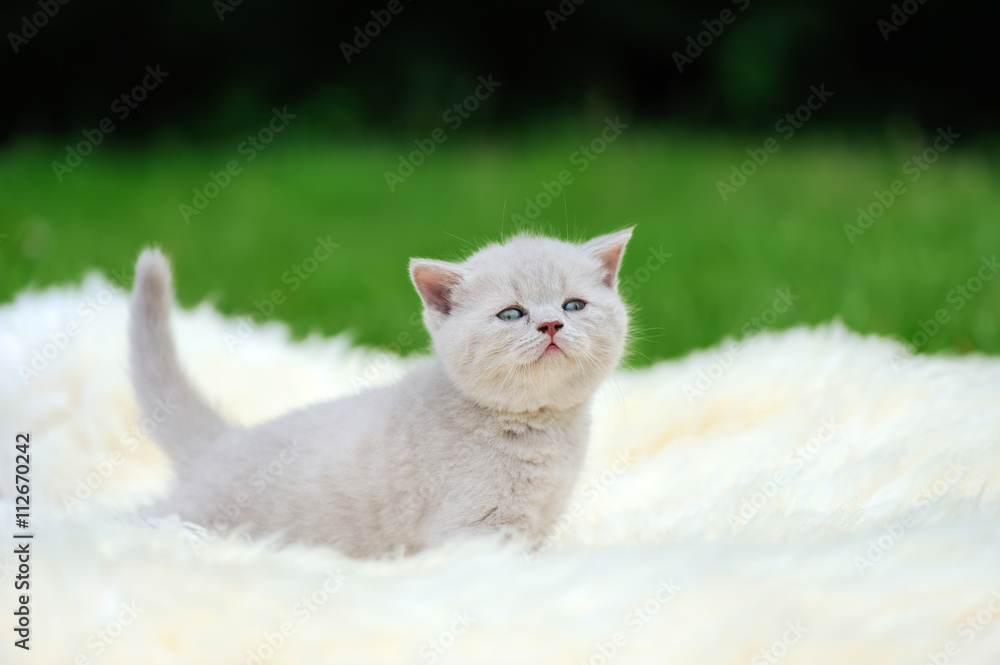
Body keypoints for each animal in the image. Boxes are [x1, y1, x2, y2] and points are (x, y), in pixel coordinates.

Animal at [131, 228, 632, 556]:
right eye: (512, 314)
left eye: (573, 305)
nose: (551, 324)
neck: (541, 430)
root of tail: (222, 440)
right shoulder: (477, 529)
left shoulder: (541, 519)